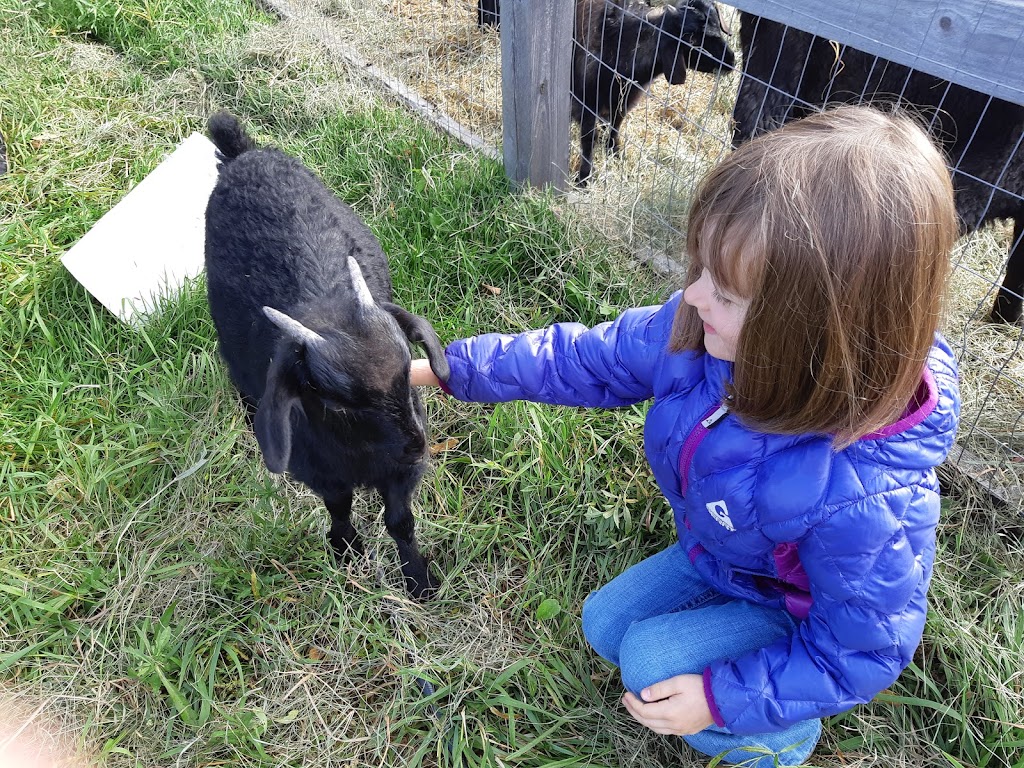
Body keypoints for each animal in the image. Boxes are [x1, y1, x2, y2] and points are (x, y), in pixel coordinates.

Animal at [203, 111, 448, 602]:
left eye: (407, 371)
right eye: (337, 402)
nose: (416, 445)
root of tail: (243, 152)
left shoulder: (401, 475)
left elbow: (400, 522)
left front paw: (418, 579)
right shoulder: (319, 472)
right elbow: (339, 507)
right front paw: (346, 548)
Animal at [573, 0, 733, 185]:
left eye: (717, 26)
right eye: (691, 39)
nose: (731, 61)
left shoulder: (623, 100)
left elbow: (615, 127)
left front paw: (615, 153)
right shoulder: (587, 103)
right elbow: (588, 139)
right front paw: (584, 178)